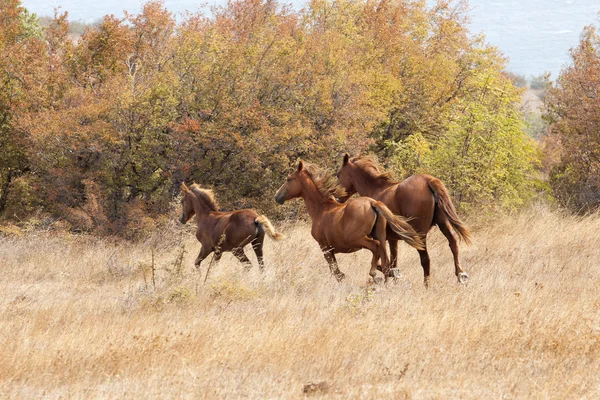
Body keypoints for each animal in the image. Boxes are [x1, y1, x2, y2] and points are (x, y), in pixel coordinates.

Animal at [274, 161, 424, 282]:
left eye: (289, 179)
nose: (277, 197)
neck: (321, 209)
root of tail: (373, 203)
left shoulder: (325, 248)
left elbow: (337, 273)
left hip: (358, 239)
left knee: (375, 248)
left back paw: (373, 274)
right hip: (381, 238)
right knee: (386, 264)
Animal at [336, 154, 472, 288]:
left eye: (338, 174)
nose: (337, 198)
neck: (376, 190)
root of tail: (429, 181)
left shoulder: (383, 239)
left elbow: (385, 262)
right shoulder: (393, 239)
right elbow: (393, 261)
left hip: (419, 234)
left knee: (425, 259)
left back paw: (427, 284)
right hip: (443, 224)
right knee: (453, 243)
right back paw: (461, 275)